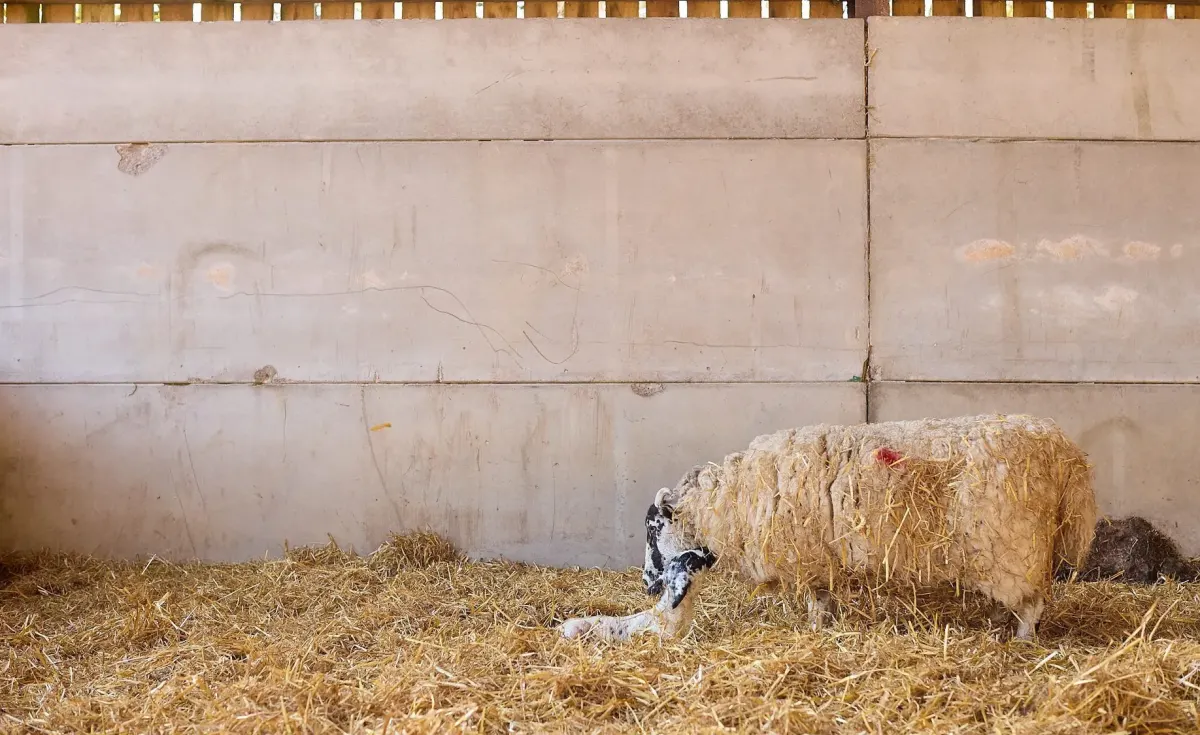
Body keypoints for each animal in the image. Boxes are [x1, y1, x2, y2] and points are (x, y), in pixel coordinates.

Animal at [560, 414, 1097, 643]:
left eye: (652, 531)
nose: (648, 585)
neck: (727, 503)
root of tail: (1069, 456)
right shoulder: (814, 558)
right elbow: (820, 597)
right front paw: (821, 625)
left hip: (1012, 550)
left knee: (1032, 602)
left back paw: (1023, 640)